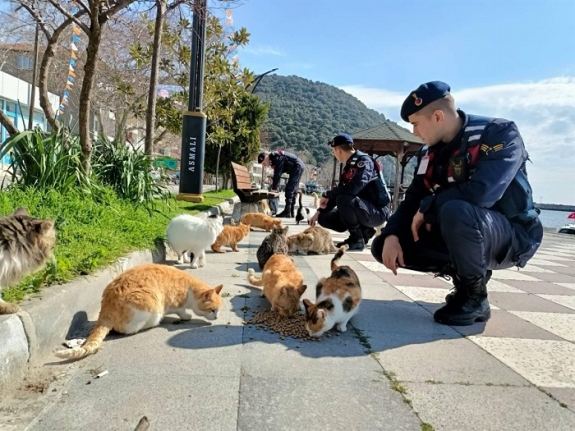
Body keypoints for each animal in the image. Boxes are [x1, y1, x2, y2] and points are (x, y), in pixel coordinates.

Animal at [55, 264, 224, 362]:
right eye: (212, 310)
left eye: (218, 310)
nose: (216, 317)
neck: (189, 287)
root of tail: (106, 311)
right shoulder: (175, 303)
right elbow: (181, 312)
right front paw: (187, 316)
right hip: (152, 308)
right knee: (129, 329)